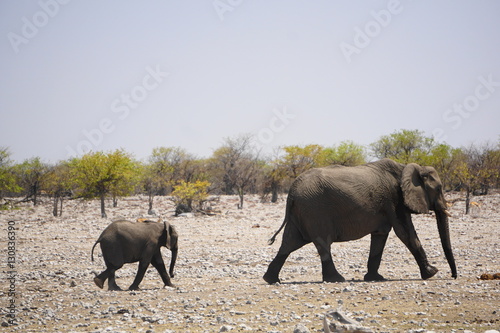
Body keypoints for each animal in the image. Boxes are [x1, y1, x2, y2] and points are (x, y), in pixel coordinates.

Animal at [266, 158, 458, 282]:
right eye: (439, 188)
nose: (453, 276)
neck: (407, 167)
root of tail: (291, 191)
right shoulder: (395, 200)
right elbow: (405, 233)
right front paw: (432, 273)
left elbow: (380, 235)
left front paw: (375, 278)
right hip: (314, 210)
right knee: (322, 243)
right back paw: (337, 279)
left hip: (301, 212)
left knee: (289, 243)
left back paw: (271, 279)